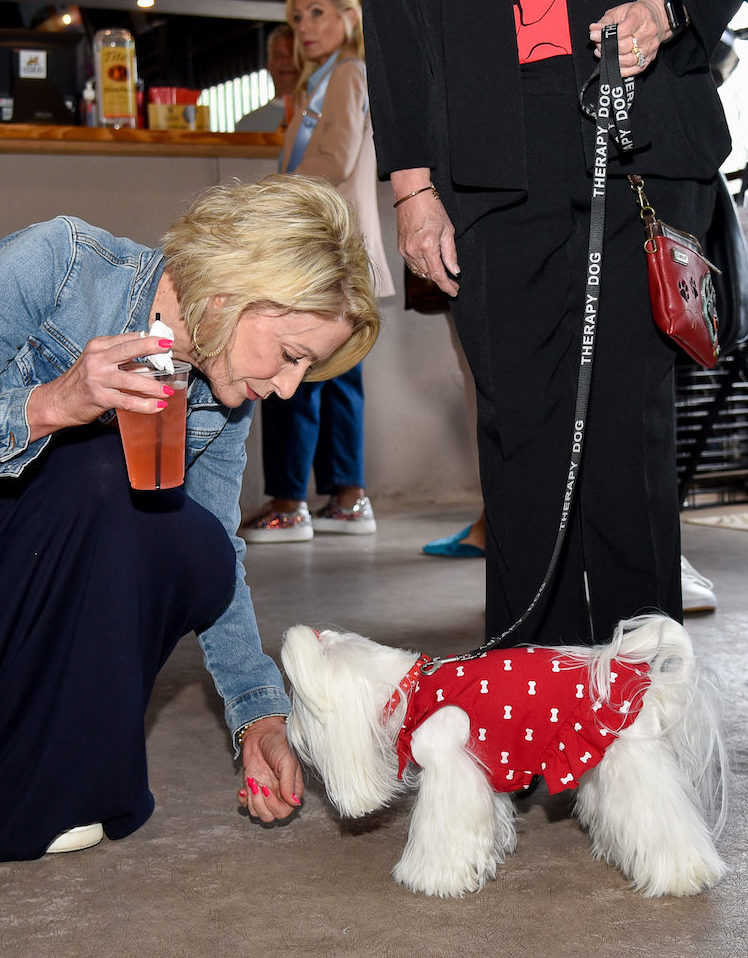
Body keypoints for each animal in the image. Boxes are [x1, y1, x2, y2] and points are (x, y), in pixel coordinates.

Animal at [280, 616, 724, 900]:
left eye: (298, 703)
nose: (289, 731)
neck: (411, 689)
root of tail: (632, 671)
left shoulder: (450, 771)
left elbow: (443, 832)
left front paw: (431, 878)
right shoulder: (480, 771)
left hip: (632, 764)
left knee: (667, 824)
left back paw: (686, 875)